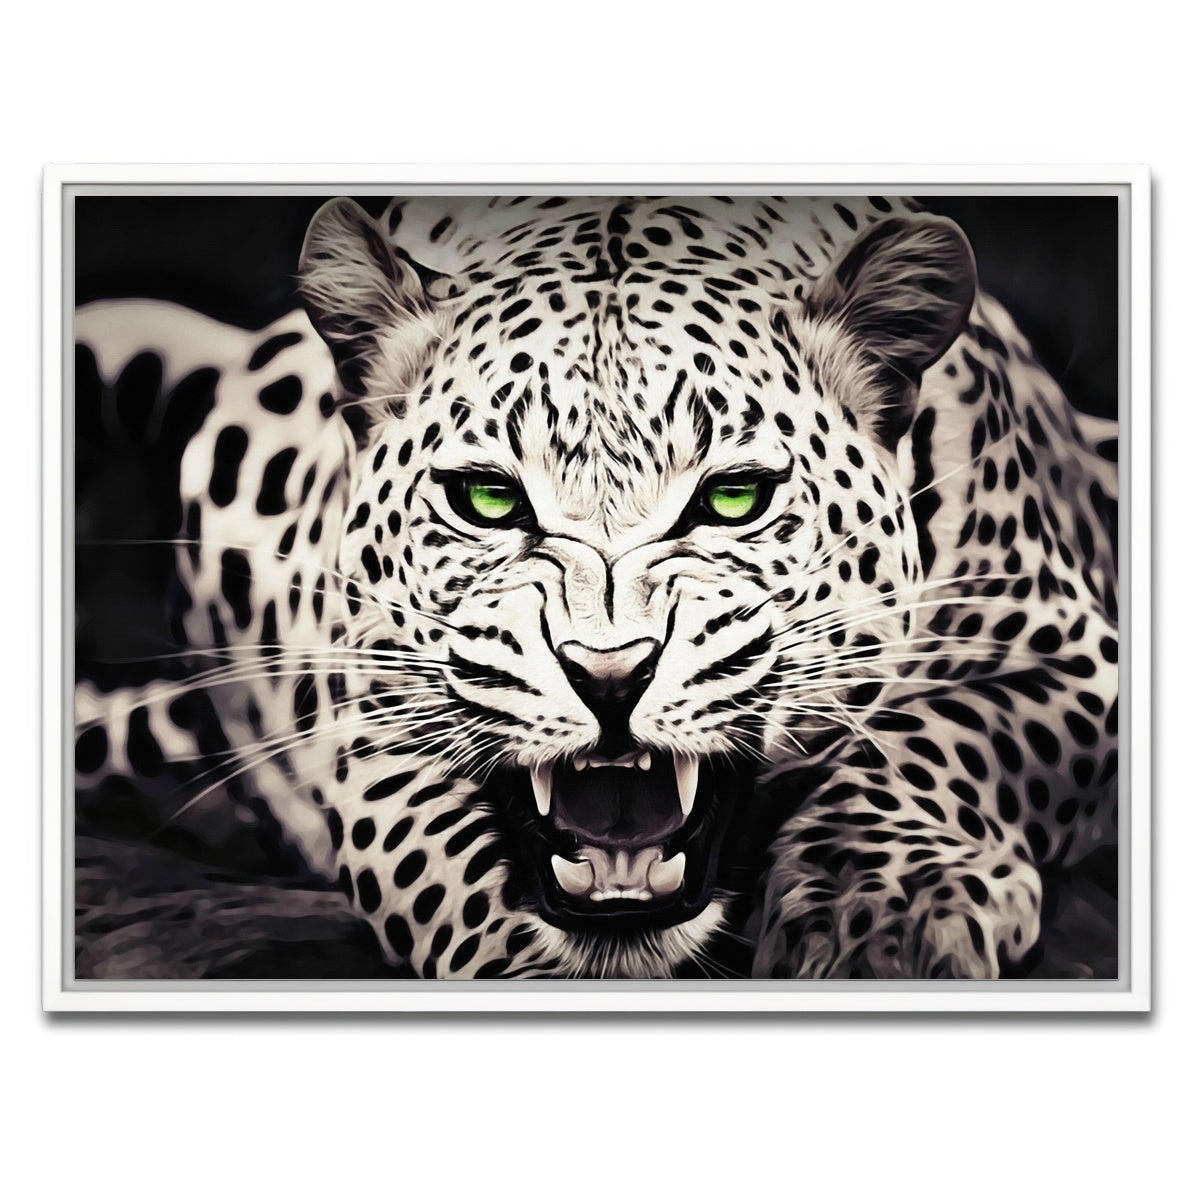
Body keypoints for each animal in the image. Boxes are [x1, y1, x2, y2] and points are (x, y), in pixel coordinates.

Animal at [73, 194, 1119, 980]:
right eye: (488, 499)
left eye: (732, 497)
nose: (609, 676)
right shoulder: (374, 729)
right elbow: (446, 868)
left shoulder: (1074, 659)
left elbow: (939, 736)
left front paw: (882, 913)